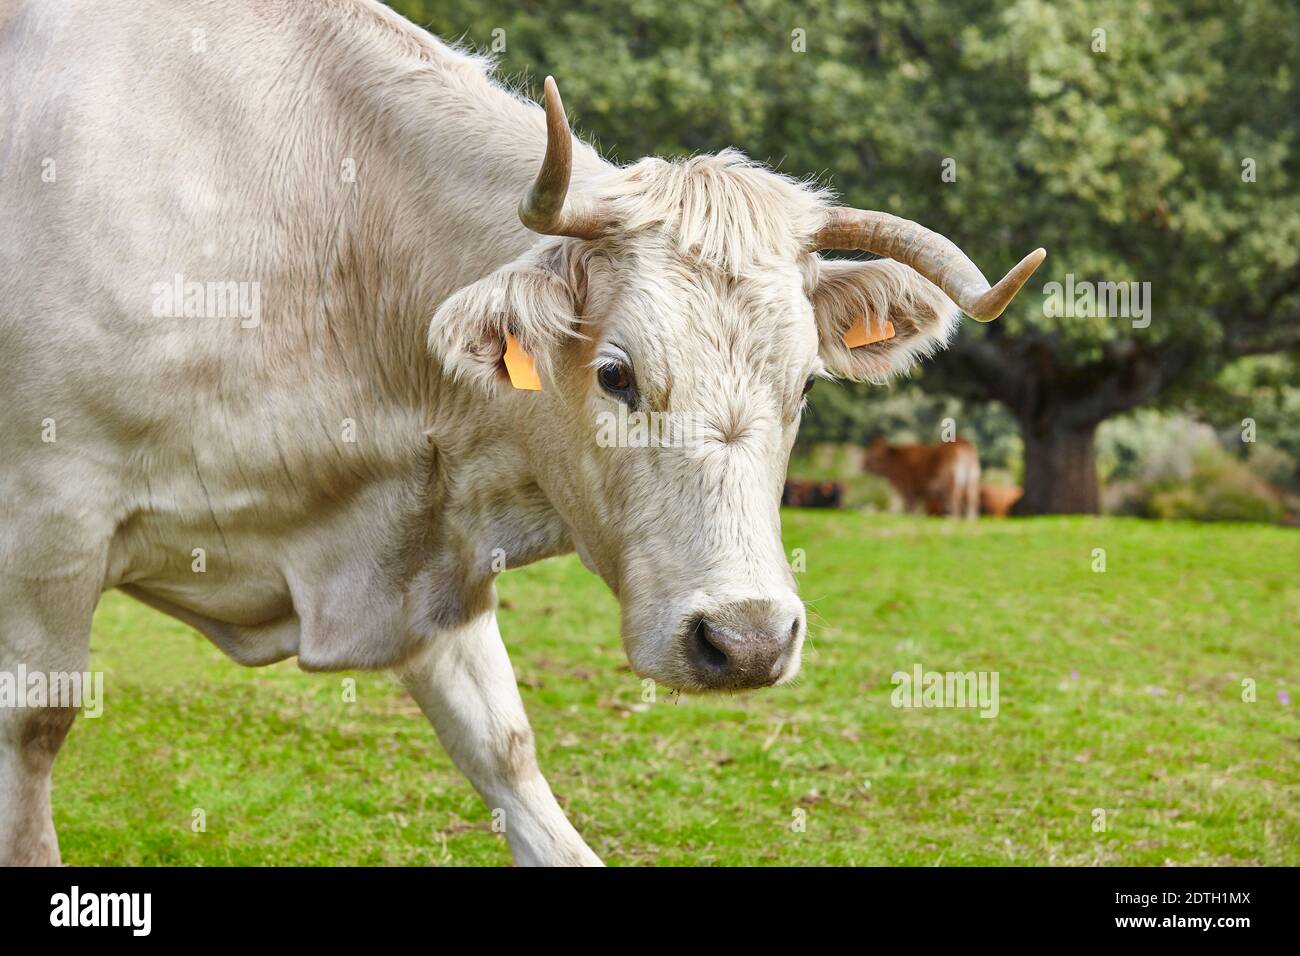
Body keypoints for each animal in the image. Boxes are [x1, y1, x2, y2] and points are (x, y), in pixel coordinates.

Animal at [0, 0, 1043, 865]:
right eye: (617, 372)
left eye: (803, 386)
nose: (746, 640)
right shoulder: (50, 524)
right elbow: (36, 732)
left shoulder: (433, 568)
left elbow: (505, 752)